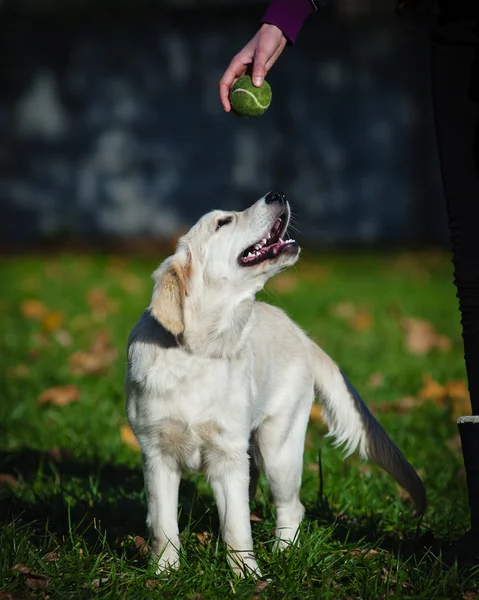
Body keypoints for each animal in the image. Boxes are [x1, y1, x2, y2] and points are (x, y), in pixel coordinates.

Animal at [124, 192, 428, 576]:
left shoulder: (229, 455)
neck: (201, 352)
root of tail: (302, 335)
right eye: (222, 222)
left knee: (291, 507)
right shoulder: (156, 454)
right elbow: (164, 525)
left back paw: (285, 552)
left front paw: (246, 576)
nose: (277, 195)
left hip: (278, 448)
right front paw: (165, 574)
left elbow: (236, 526)